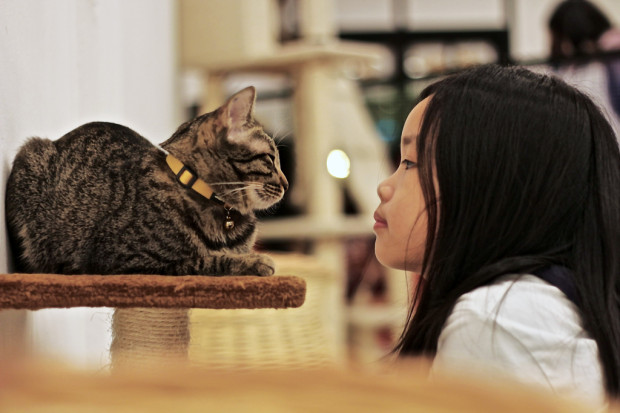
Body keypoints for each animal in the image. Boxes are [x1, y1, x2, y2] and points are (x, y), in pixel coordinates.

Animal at [6, 85, 286, 276]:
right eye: (270, 159)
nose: (286, 184)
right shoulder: (127, 258)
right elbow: (204, 259)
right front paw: (255, 261)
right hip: (30, 155)